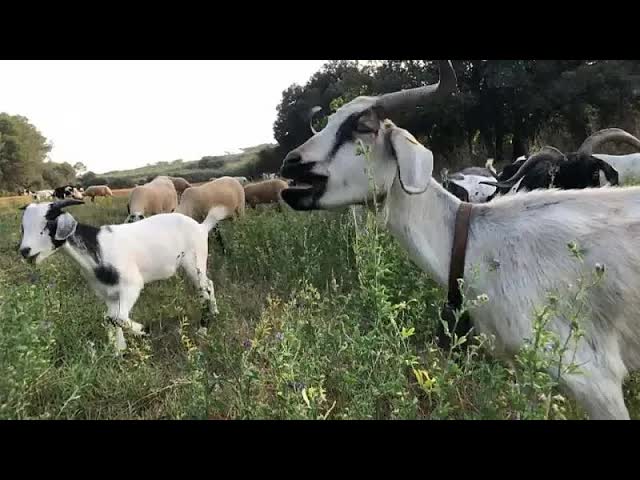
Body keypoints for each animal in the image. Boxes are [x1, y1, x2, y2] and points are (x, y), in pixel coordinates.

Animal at [18, 198, 222, 354]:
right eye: (23, 227)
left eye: (48, 224)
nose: (24, 251)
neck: (96, 248)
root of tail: (202, 227)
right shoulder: (108, 294)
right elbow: (109, 317)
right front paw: (118, 349)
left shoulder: (131, 286)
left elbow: (118, 318)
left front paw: (143, 331)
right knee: (209, 284)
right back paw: (215, 312)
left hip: (194, 261)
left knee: (203, 289)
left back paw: (203, 329)